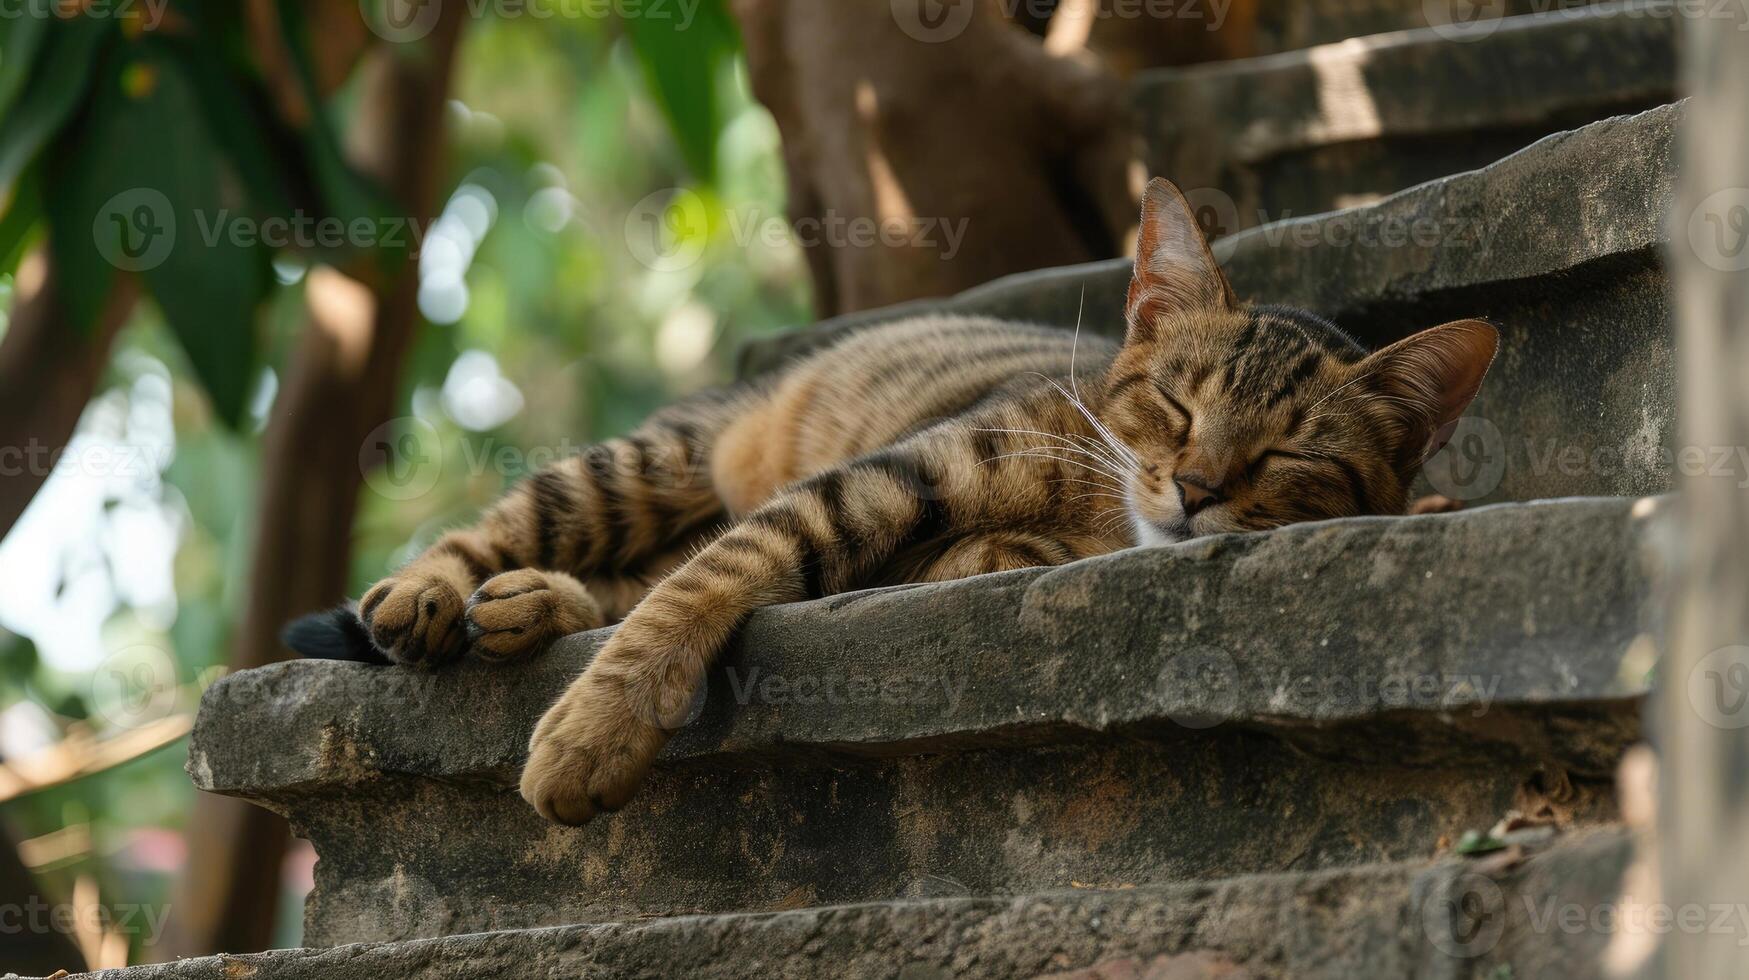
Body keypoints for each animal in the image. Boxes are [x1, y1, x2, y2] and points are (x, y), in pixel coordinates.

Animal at [286, 180, 1490, 822]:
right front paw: (595, 729)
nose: (1194, 492)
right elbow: (706, 582)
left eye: (1287, 455)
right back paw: (435, 594)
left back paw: (529, 605)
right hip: (646, 463)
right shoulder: (882, 480)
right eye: (1175, 404)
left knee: (621, 578)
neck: (1098, 517)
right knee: (519, 533)